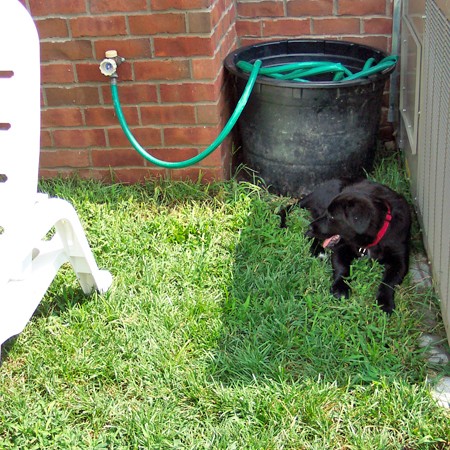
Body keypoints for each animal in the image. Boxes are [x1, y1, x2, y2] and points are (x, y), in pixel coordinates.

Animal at [284, 178, 412, 312]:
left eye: (332, 216)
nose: (310, 226)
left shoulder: (399, 259)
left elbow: (389, 281)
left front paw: (385, 302)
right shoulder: (341, 248)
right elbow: (342, 267)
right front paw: (340, 288)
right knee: (308, 235)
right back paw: (318, 251)